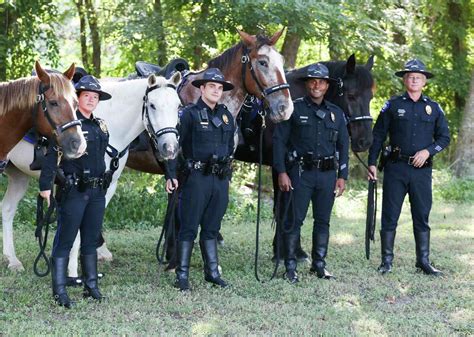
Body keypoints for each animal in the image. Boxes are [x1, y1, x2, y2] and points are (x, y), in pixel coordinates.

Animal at [1, 72, 181, 274]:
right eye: (152, 105)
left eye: (178, 105)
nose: (170, 148)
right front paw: (72, 270)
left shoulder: (107, 186)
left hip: (19, 177)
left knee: (7, 209)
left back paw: (12, 260)